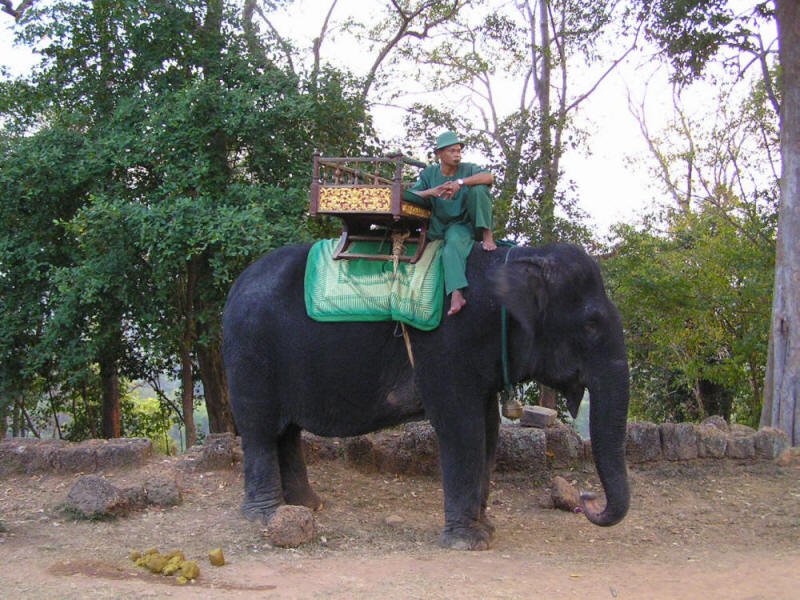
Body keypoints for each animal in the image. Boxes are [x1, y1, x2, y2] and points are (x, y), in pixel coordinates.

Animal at [222, 241, 630, 550]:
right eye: (591, 325)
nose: (587, 499)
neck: (514, 259)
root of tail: (236, 286)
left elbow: (488, 429)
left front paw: (486, 530)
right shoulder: (447, 344)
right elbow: (460, 426)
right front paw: (470, 543)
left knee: (286, 432)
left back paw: (307, 506)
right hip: (250, 356)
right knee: (261, 430)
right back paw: (266, 514)